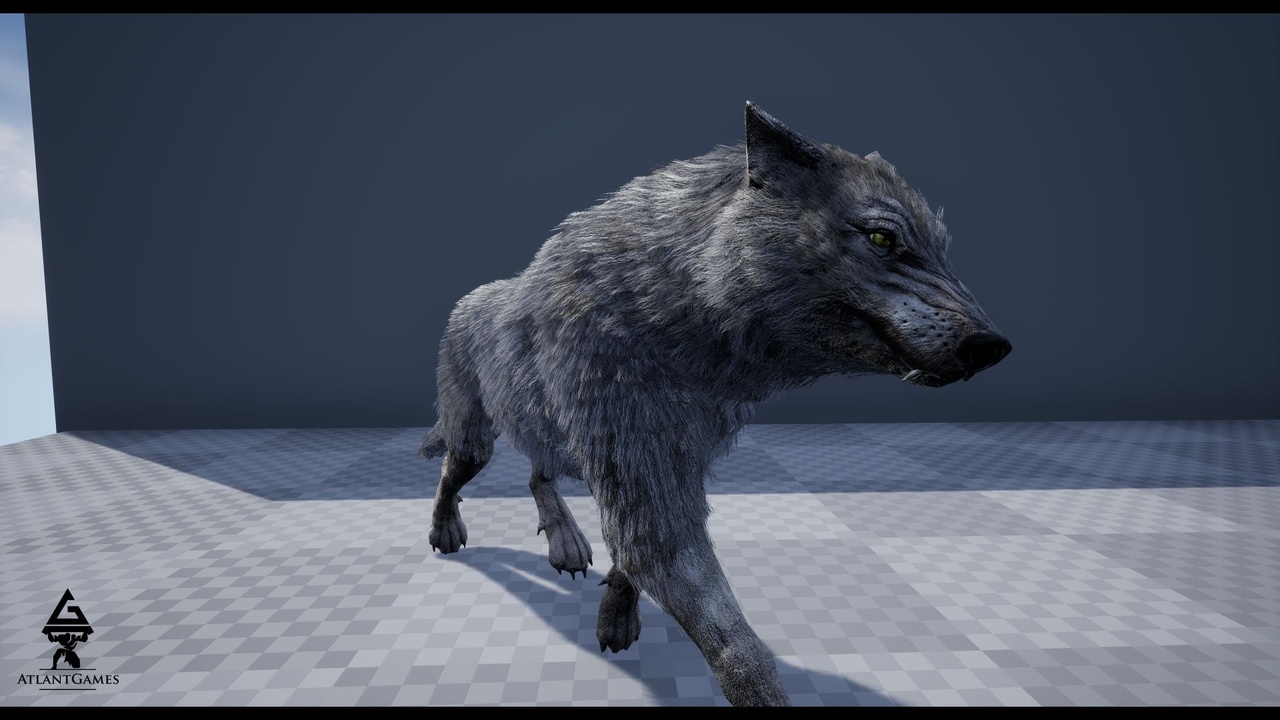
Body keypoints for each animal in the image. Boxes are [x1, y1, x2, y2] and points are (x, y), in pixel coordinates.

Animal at [417, 103, 1011, 706]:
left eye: (942, 247)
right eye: (882, 238)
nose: (994, 346)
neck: (675, 308)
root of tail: (466, 301)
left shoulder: (670, 466)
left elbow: (628, 562)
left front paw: (617, 615)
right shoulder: (644, 477)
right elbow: (734, 642)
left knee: (537, 475)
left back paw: (566, 545)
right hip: (475, 439)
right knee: (453, 474)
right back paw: (446, 535)